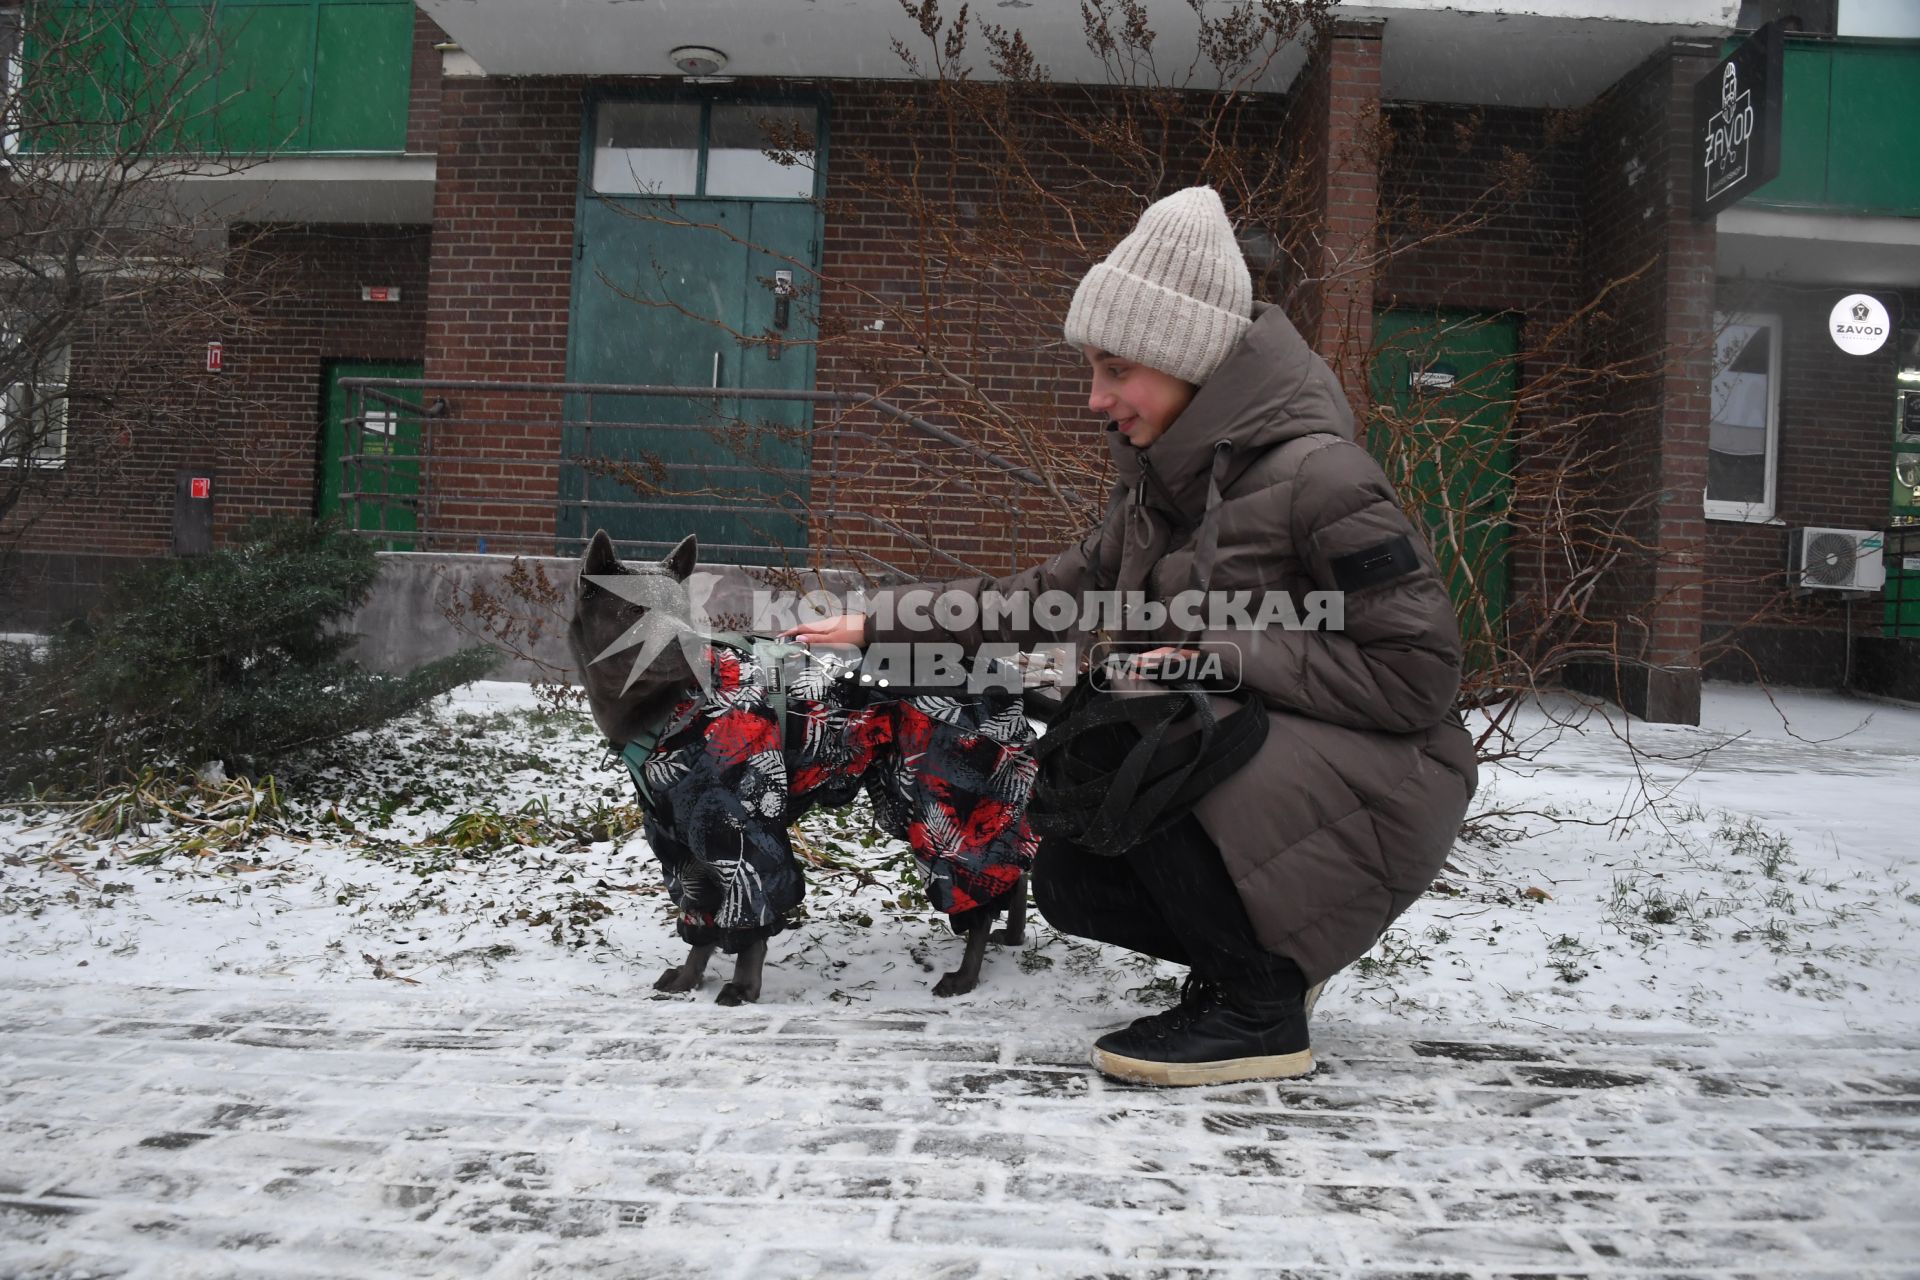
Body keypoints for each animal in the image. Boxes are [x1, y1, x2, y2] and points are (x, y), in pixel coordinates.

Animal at [568, 529, 1044, 997]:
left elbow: (752, 918)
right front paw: (689, 979)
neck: (674, 705)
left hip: (950, 800)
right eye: (634, 610)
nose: (687, 643)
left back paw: (966, 976)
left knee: (980, 882)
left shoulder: (741, 829)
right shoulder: (679, 841)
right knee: (1013, 868)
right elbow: (699, 915)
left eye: (684, 611)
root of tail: (998, 669)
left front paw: (743, 988)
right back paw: (1012, 935)